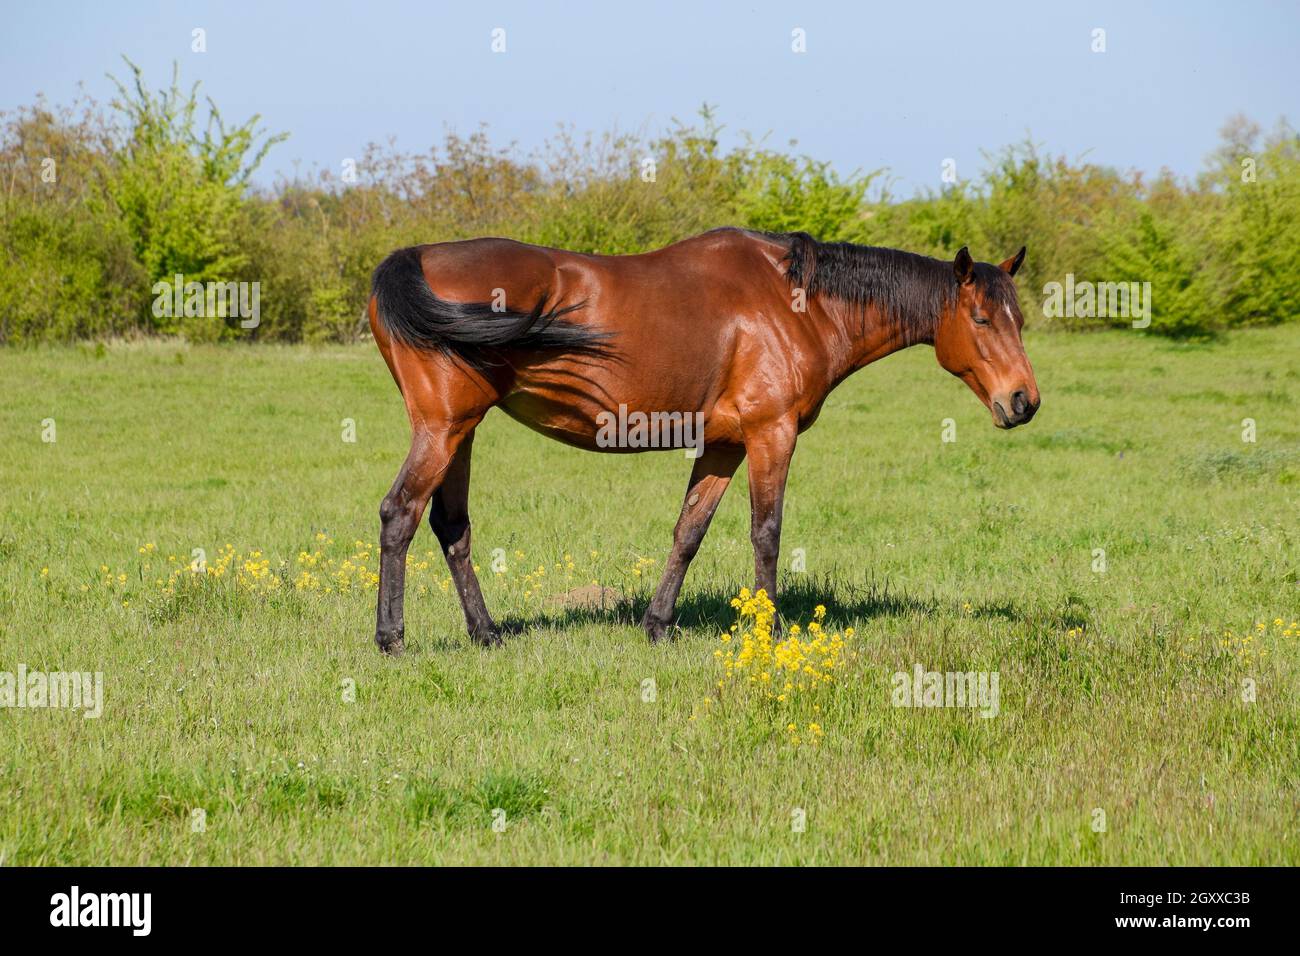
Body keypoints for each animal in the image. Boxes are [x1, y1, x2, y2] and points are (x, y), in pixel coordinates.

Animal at [367, 228, 1040, 654]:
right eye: (982, 319)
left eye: (1020, 320)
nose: (1024, 401)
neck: (796, 304)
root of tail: (414, 257)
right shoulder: (771, 435)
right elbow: (766, 534)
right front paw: (770, 632)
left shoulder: (723, 445)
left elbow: (689, 530)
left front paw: (658, 624)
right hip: (442, 430)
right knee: (400, 514)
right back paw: (392, 639)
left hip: (462, 432)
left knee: (451, 527)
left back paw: (486, 634)